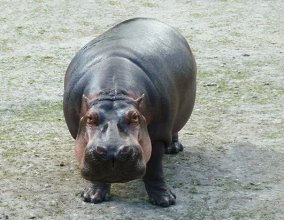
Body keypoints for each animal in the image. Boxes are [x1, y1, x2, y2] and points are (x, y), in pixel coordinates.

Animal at [62, 17, 195, 206]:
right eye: (90, 118)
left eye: (134, 117)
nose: (112, 152)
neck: (114, 93)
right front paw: (93, 197)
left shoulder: (158, 135)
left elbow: (154, 168)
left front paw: (164, 200)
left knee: (174, 130)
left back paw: (174, 148)